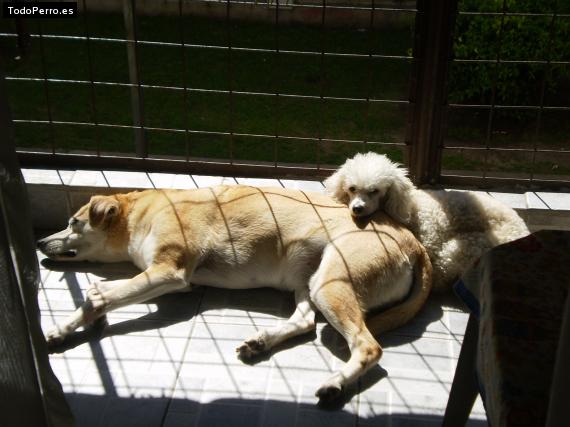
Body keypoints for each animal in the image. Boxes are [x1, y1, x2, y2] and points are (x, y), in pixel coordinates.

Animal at [38, 186, 430, 402]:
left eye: (74, 222)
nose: (40, 242)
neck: (141, 213)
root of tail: (415, 244)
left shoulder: (169, 271)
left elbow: (99, 296)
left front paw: (70, 325)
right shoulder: (152, 273)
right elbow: (96, 292)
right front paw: (65, 327)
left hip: (331, 284)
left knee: (367, 346)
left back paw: (335, 384)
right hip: (308, 280)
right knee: (305, 322)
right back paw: (262, 342)